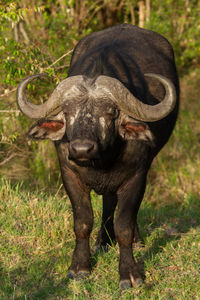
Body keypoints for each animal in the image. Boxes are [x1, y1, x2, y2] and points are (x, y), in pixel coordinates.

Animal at [16, 24, 180, 290]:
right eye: (68, 112)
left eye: (110, 112)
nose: (82, 149)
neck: (101, 162)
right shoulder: (69, 174)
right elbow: (83, 221)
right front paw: (80, 267)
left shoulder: (137, 175)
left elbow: (124, 225)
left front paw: (130, 273)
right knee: (108, 202)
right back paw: (103, 241)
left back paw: (132, 240)